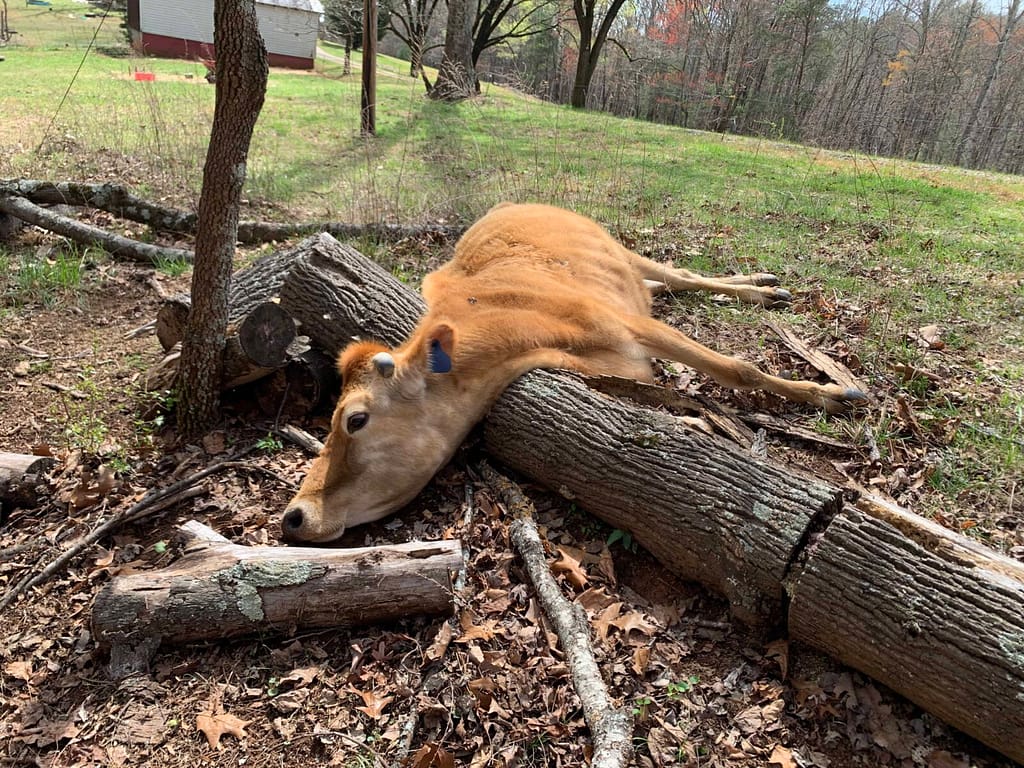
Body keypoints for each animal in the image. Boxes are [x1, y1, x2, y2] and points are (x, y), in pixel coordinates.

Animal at [281, 202, 864, 543]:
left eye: (355, 419)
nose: (293, 516)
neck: (516, 331)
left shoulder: (626, 325)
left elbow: (739, 368)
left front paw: (833, 394)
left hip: (620, 249)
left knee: (680, 273)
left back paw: (764, 287)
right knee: (666, 282)